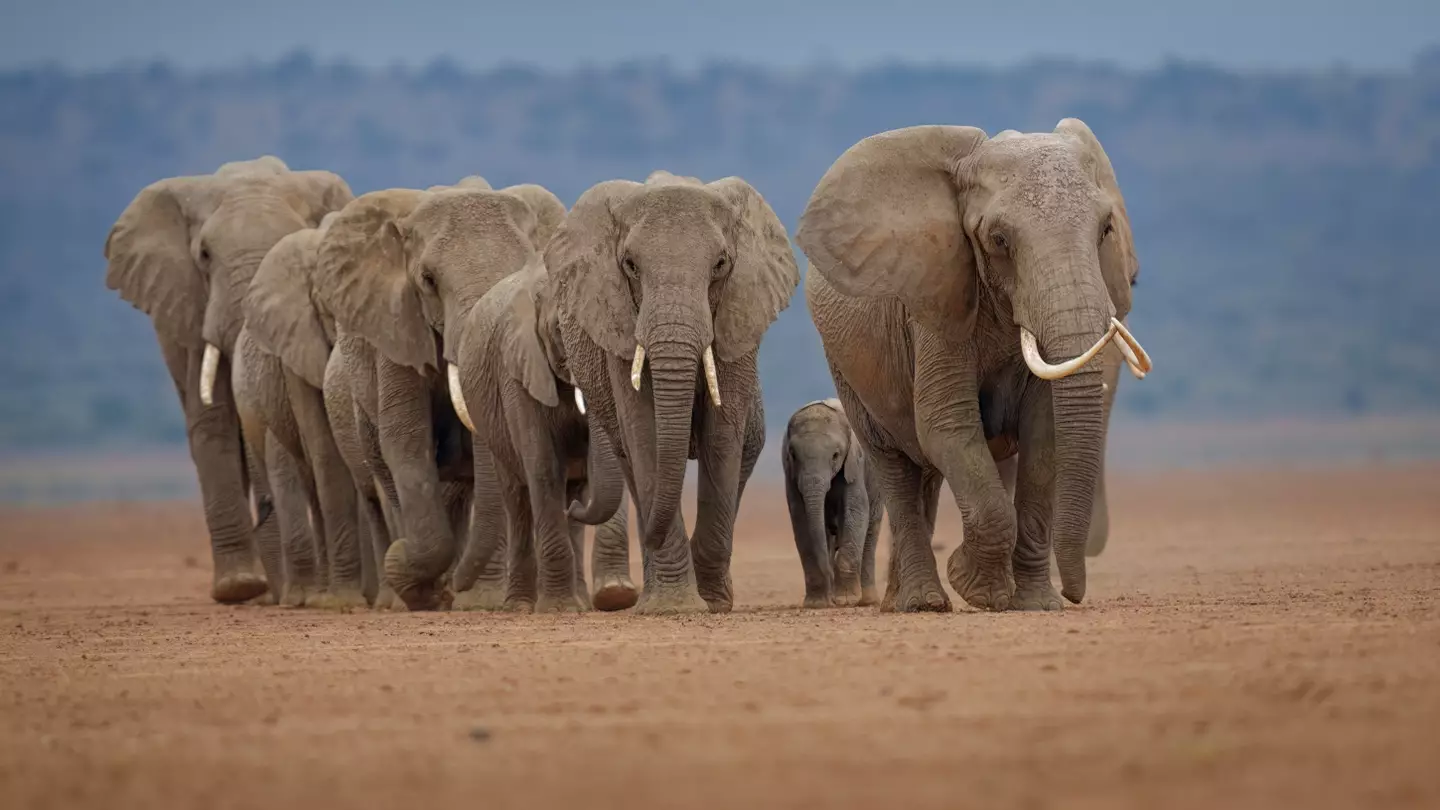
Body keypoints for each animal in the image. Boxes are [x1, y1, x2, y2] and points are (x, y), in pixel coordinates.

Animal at [447, 260, 636, 612]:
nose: (575, 506)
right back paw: (520, 606)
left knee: (571, 490)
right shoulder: (517, 370)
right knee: (518, 500)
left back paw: (580, 599)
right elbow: (543, 466)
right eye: (560, 331)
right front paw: (559, 609)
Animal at [546, 170, 798, 614]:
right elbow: (645, 434)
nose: (572, 506)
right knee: (632, 461)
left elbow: (722, 435)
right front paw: (673, 606)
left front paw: (712, 603)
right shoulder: (618, 326)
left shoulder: (738, 314)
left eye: (720, 265)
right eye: (630, 266)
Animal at [781, 398, 883, 608]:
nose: (833, 601)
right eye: (793, 455)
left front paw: (846, 601)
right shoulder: (790, 473)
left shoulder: (855, 464)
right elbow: (800, 518)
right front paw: (817, 604)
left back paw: (866, 601)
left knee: (870, 531)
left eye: (836, 455)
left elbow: (856, 511)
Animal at [796, 120, 1151, 613]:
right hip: (845, 366)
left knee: (927, 474)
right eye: (999, 240)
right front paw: (977, 588)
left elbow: (1045, 433)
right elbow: (946, 424)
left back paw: (906, 600)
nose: (1073, 594)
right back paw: (922, 603)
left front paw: (1035, 605)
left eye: (1105, 231)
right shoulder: (934, 303)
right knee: (894, 465)